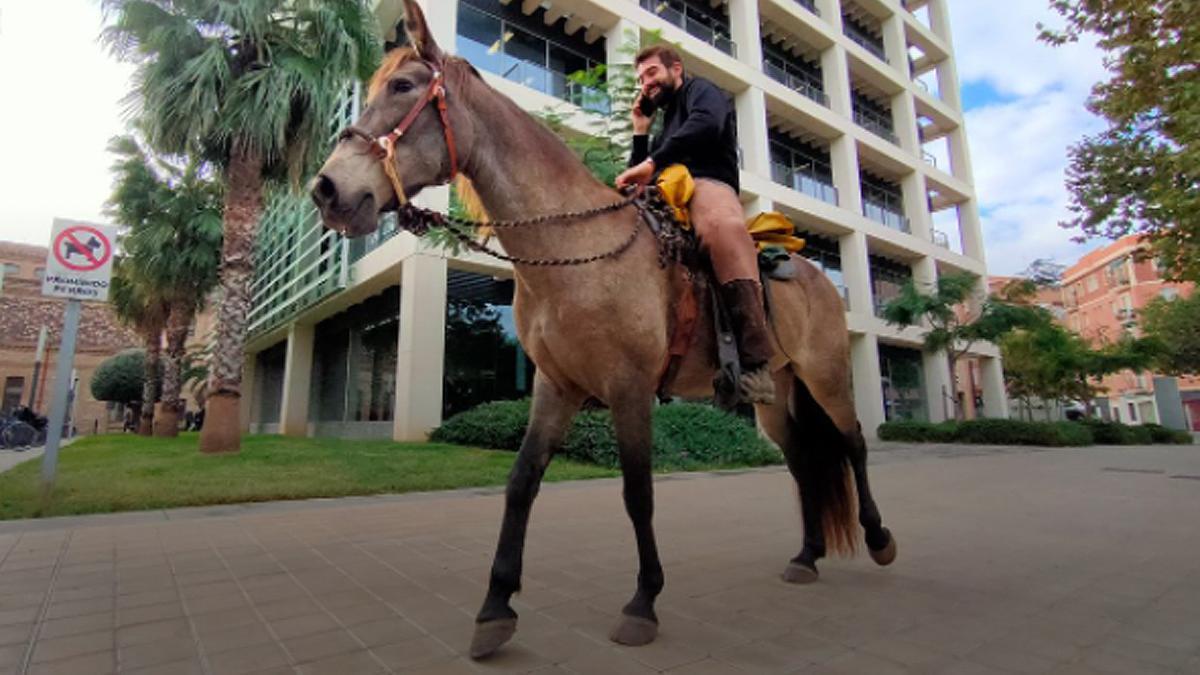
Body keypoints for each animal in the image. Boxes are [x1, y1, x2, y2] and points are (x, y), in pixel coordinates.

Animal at [314, 0, 897, 653]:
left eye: (404, 86)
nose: (327, 190)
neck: (575, 248)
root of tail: (816, 275)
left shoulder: (629, 389)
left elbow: (637, 492)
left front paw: (643, 601)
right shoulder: (555, 387)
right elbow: (521, 483)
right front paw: (495, 607)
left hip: (825, 374)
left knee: (852, 443)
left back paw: (878, 539)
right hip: (776, 391)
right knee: (800, 460)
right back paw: (807, 555)